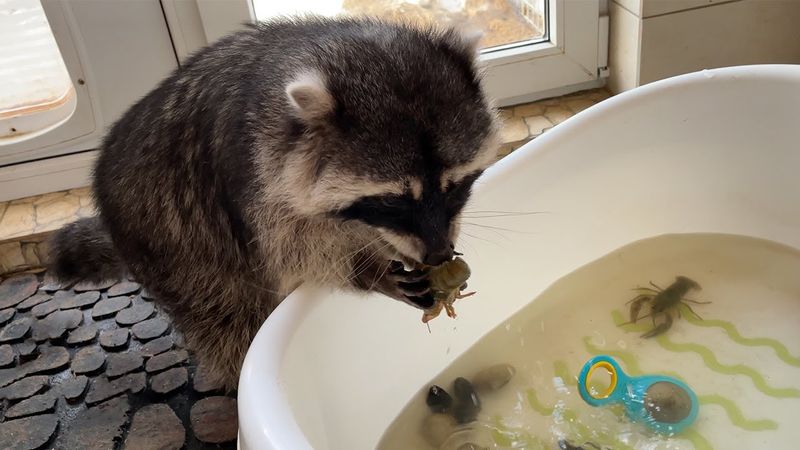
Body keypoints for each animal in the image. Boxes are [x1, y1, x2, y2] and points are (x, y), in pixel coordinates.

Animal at [48, 16, 500, 391]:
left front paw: (393, 250)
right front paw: (366, 270)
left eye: (455, 186)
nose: (438, 253)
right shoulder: (257, 174)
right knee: (229, 318)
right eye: (394, 200)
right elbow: (295, 250)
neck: (344, 48)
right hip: (173, 242)